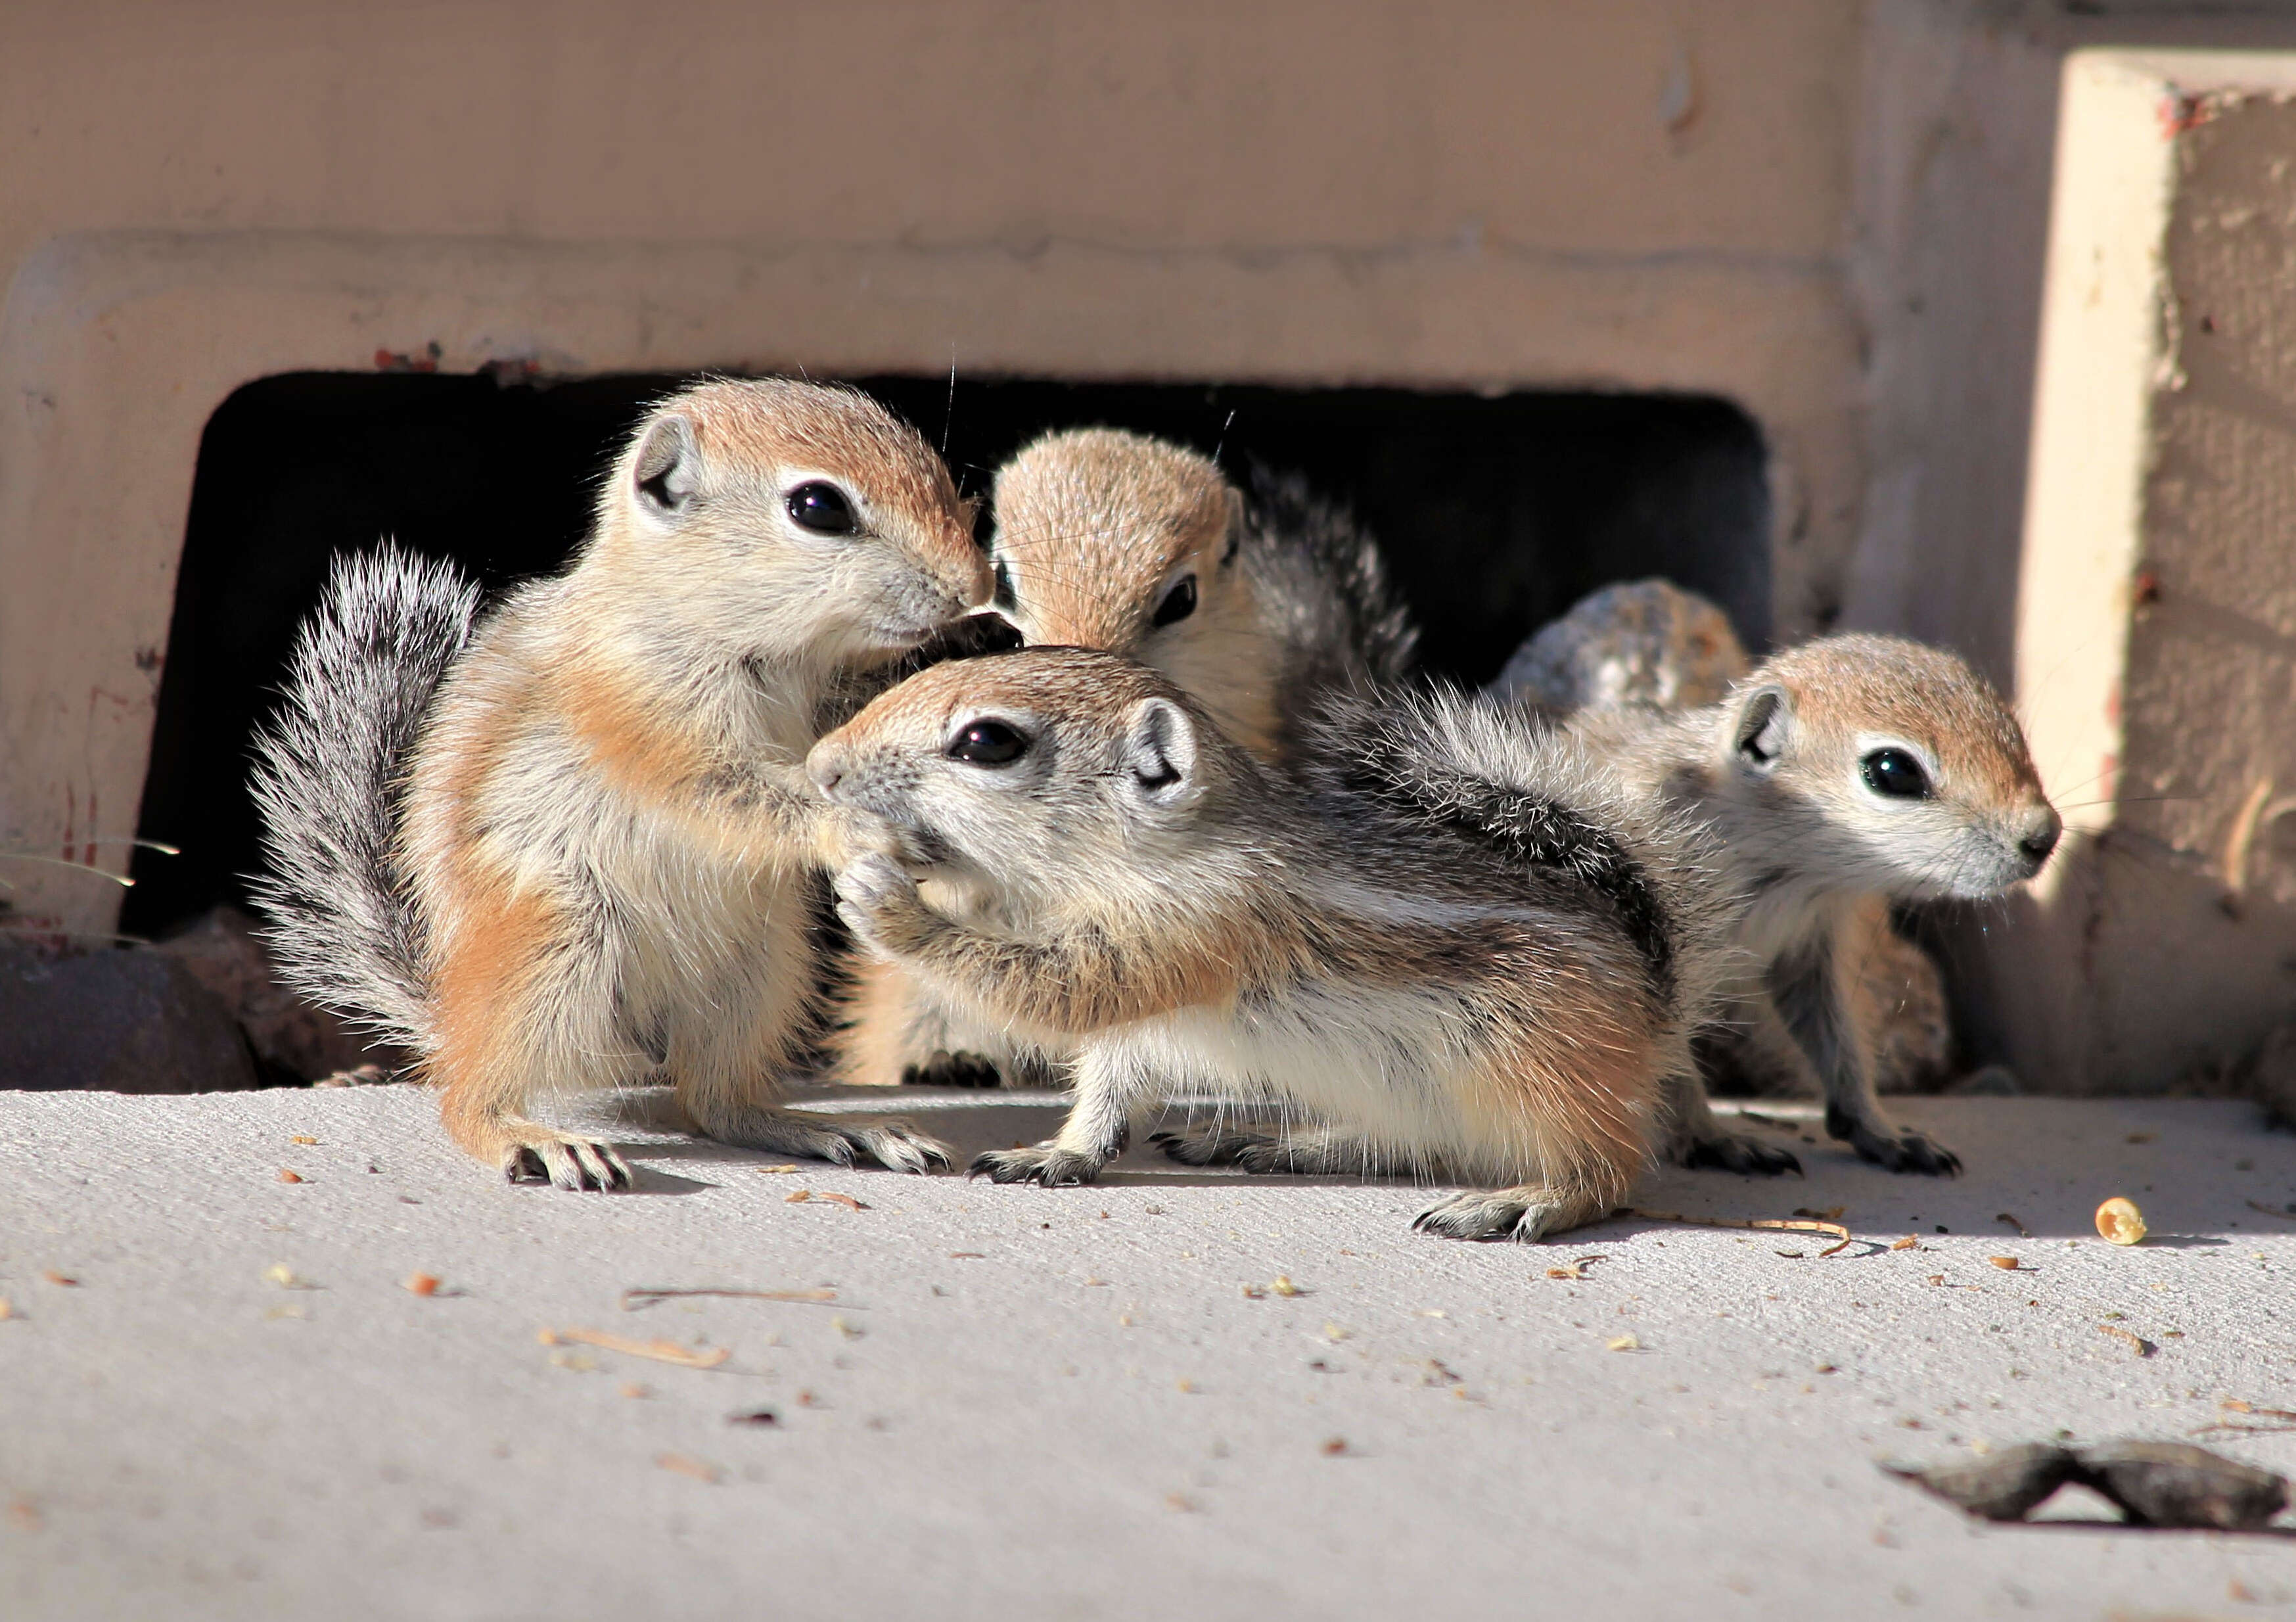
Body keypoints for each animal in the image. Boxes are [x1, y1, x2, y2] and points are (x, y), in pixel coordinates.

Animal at [256, 379, 992, 1185]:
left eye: (943, 479)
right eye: (817, 506)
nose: (977, 588)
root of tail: (449, 1003)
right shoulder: (638, 715)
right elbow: (727, 791)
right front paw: (858, 824)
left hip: (762, 966)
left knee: (716, 1102)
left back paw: (831, 1129)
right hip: (558, 936)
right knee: (467, 1096)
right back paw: (534, 1137)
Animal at [808, 643, 1726, 1240]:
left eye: (987, 741)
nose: (821, 766)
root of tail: (1658, 1001)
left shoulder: (1195, 925)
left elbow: (1057, 991)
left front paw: (886, 901)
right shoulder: (1137, 1023)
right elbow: (1107, 1084)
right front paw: (1060, 1153)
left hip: (1534, 1065)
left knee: (1605, 1167)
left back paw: (1519, 1199)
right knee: (1418, 1142)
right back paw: (1282, 1141)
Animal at [1561, 624, 2066, 1167]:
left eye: (2011, 726)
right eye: (1893, 770)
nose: (2045, 836)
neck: (1784, 870)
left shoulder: (1814, 945)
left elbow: (1835, 1034)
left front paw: (1880, 1129)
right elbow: (1670, 1062)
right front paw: (1711, 1138)